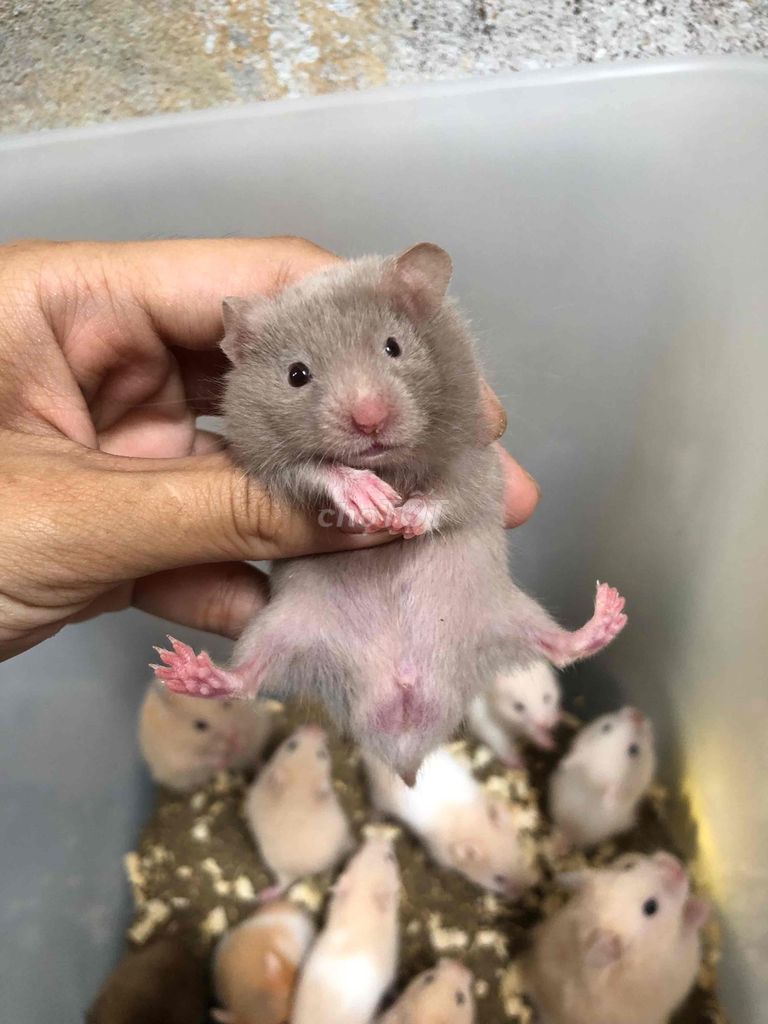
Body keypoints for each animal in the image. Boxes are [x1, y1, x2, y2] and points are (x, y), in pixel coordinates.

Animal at [138, 682, 272, 792]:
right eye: (200, 725)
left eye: (227, 703)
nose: (232, 737)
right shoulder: (181, 757)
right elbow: (204, 760)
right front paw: (223, 762)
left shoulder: (252, 718)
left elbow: (248, 732)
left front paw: (239, 745)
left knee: (254, 757)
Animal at [152, 243, 627, 781]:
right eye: (297, 374)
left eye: (393, 347)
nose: (370, 421)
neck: (389, 464)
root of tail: (403, 729)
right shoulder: (269, 463)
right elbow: (316, 469)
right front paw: (373, 503)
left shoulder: (476, 463)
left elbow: (449, 495)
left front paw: (403, 519)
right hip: (280, 630)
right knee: (247, 680)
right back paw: (185, 669)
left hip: (506, 611)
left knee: (560, 647)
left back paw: (609, 609)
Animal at [244, 725, 352, 891]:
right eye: (292, 745)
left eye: (322, 754)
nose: (316, 729)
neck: (299, 787)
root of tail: (307, 871)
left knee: (284, 884)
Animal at [365, 746, 538, 896]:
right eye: (499, 879)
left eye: (519, 857)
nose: (524, 892)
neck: (473, 825)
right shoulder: (438, 853)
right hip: (380, 798)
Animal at [522, 852, 710, 1024]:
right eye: (651, 907)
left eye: (628, 866)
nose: (676, 867)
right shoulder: (675, 956)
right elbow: (689, 928)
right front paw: (705, 908)